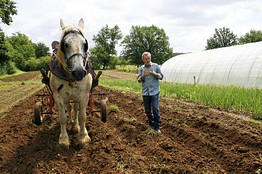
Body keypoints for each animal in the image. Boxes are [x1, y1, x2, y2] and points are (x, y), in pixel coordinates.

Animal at [50, 18, 92, 147]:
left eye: (84, 44)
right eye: (65, 44)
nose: (79, 72)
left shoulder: (84, 95)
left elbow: (82, 116)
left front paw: (83, 136)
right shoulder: (58, 96)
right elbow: (62, 117)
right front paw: (64, 138)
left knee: (76, 109)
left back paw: (75, 126)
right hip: (67, 97)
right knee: (69, 108)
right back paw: (71, 125)